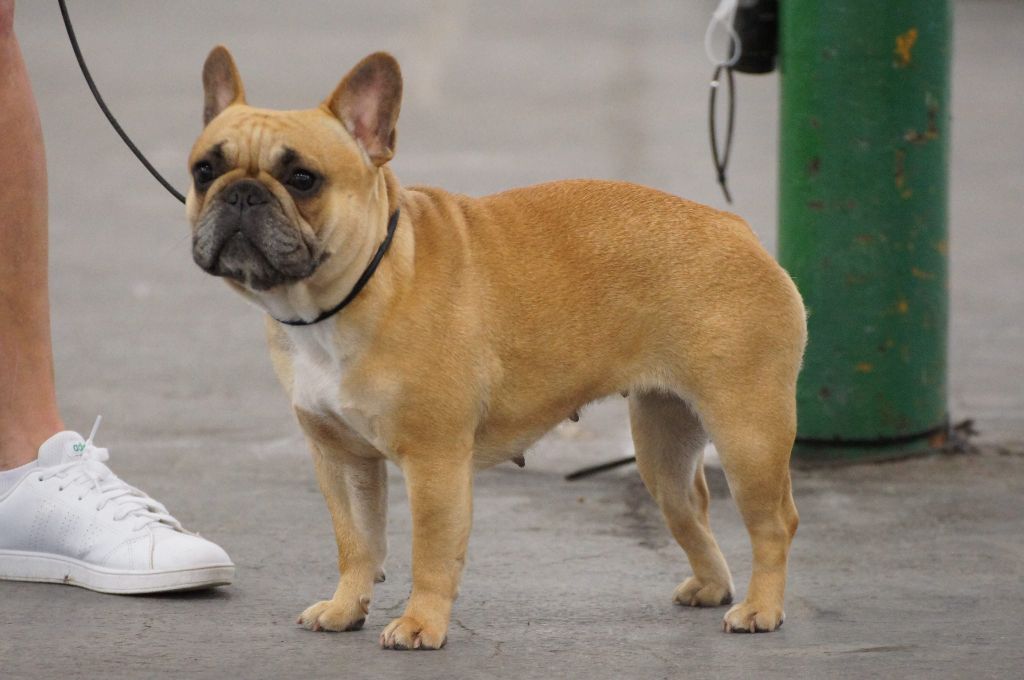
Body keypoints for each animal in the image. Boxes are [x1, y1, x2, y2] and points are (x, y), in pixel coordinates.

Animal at [187, 46, 806, 650]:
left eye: (302, 178)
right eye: (203, 170)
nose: (240, 193)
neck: (345, 294)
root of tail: (736, 228)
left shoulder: (434, 459)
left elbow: (430, 551)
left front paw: (421, 624)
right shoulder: (341, 458)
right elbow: (355, 540)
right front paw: (344, 608)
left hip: (747, 431)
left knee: (775, 522)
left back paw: (760, 609)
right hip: (663, 441)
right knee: (689, 511)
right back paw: (712, 587)